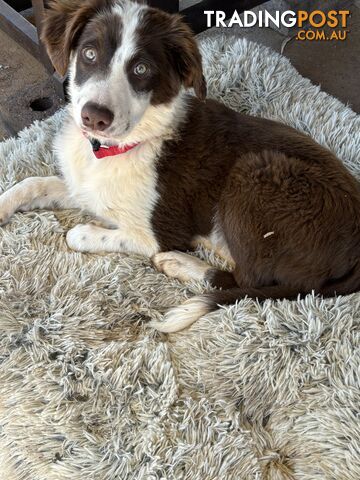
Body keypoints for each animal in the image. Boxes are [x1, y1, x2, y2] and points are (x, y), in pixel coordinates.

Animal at [0, 0, 360, 332]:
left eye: (141, 69)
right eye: (89, 53)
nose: (94, 117)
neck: (118, 147)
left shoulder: (157, 234)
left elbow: (81, 235)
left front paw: (85, 231)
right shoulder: (84, 188)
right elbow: (33, 182)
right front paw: (4, 206)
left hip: (255, 171)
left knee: (247, 280)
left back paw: (178, 263)